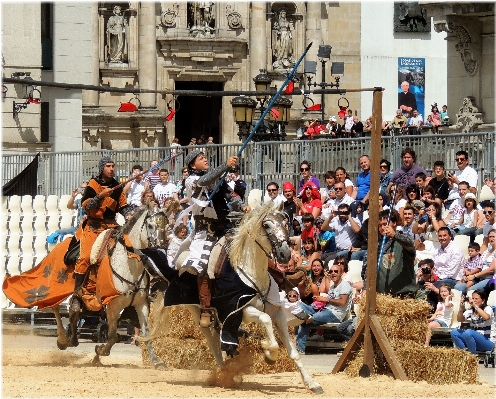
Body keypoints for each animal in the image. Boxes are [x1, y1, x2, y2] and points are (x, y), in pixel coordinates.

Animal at [52, 203, 166, 368]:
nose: (162, 249)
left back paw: (71, 339)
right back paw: (63, 339)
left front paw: (156, 361)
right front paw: (100, 351)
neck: (129, 265)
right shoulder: (112, 305)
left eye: (166, 224)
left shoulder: (141, 304)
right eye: (150, 225)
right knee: (58, 308)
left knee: (75, 311)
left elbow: (146, 333)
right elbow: (112, 336)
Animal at [147, 205, 326, 396]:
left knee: (219, 335)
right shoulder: (241, 310)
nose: (285, 254)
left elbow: (293, 352)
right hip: (196, 311)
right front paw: (268, 353)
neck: (253, 273)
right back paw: (223, 373)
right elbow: (266, 322)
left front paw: (312, 384)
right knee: (211, 339)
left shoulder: (278, 313)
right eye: (267, 225)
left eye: (285, 222)